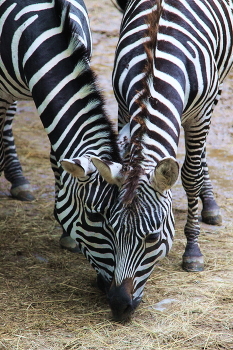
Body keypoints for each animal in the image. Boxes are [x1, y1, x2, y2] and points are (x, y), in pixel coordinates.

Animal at [92, 0, 233, 320]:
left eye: (153, 239)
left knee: (199, 155)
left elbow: (191, 175)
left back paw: (209, 204)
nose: (119, 304)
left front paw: (193, 250)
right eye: (110, 230)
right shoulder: (124, 108)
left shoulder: (200, 114)